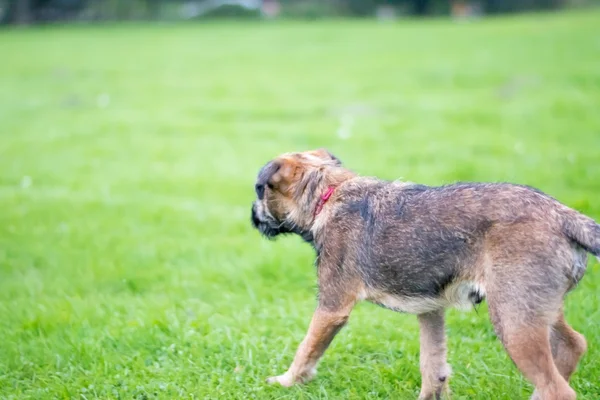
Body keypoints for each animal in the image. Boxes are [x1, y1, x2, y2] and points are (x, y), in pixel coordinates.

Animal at [250, 148, 600, 398]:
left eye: (259, 190)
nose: (251, 215)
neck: (329, 195)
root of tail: (563, 216)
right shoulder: (431, 311)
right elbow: (432, 364)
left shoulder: (331, 307)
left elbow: (306, 349)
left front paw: (285, 381)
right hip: (536, 308)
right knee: (573, 345)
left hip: (514, 321)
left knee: (558, 389)